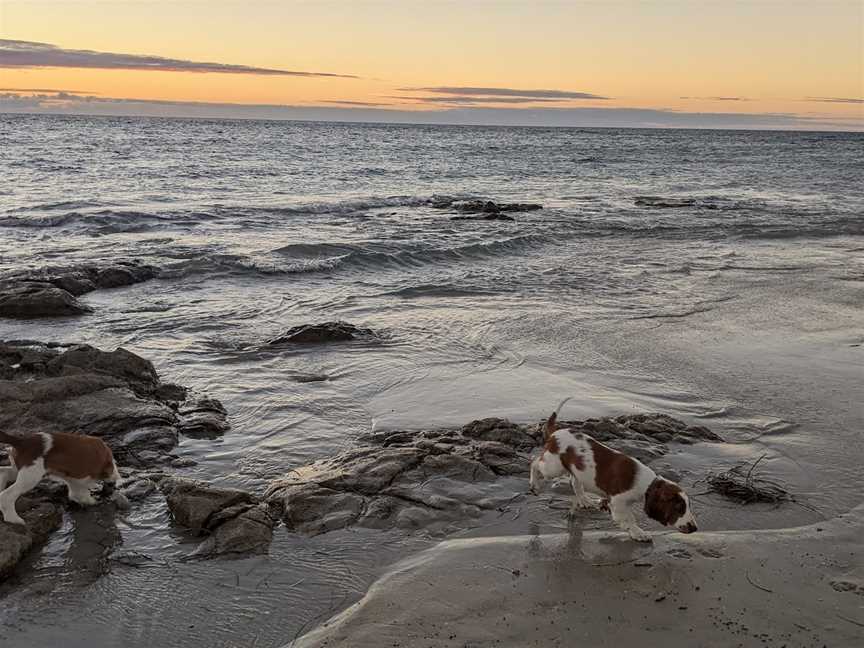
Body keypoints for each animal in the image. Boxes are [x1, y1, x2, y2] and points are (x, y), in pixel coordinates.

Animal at [528, 400, 700, 540]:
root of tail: (555, 433)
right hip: (553, 466)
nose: (694, 528)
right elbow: (628, 519)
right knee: (535, 462)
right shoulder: (618, 502)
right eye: (678, 508)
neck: (647, 484)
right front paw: (639, 533)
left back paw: (584, 500)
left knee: (574, 481)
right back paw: (534, 486)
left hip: (574, 470)